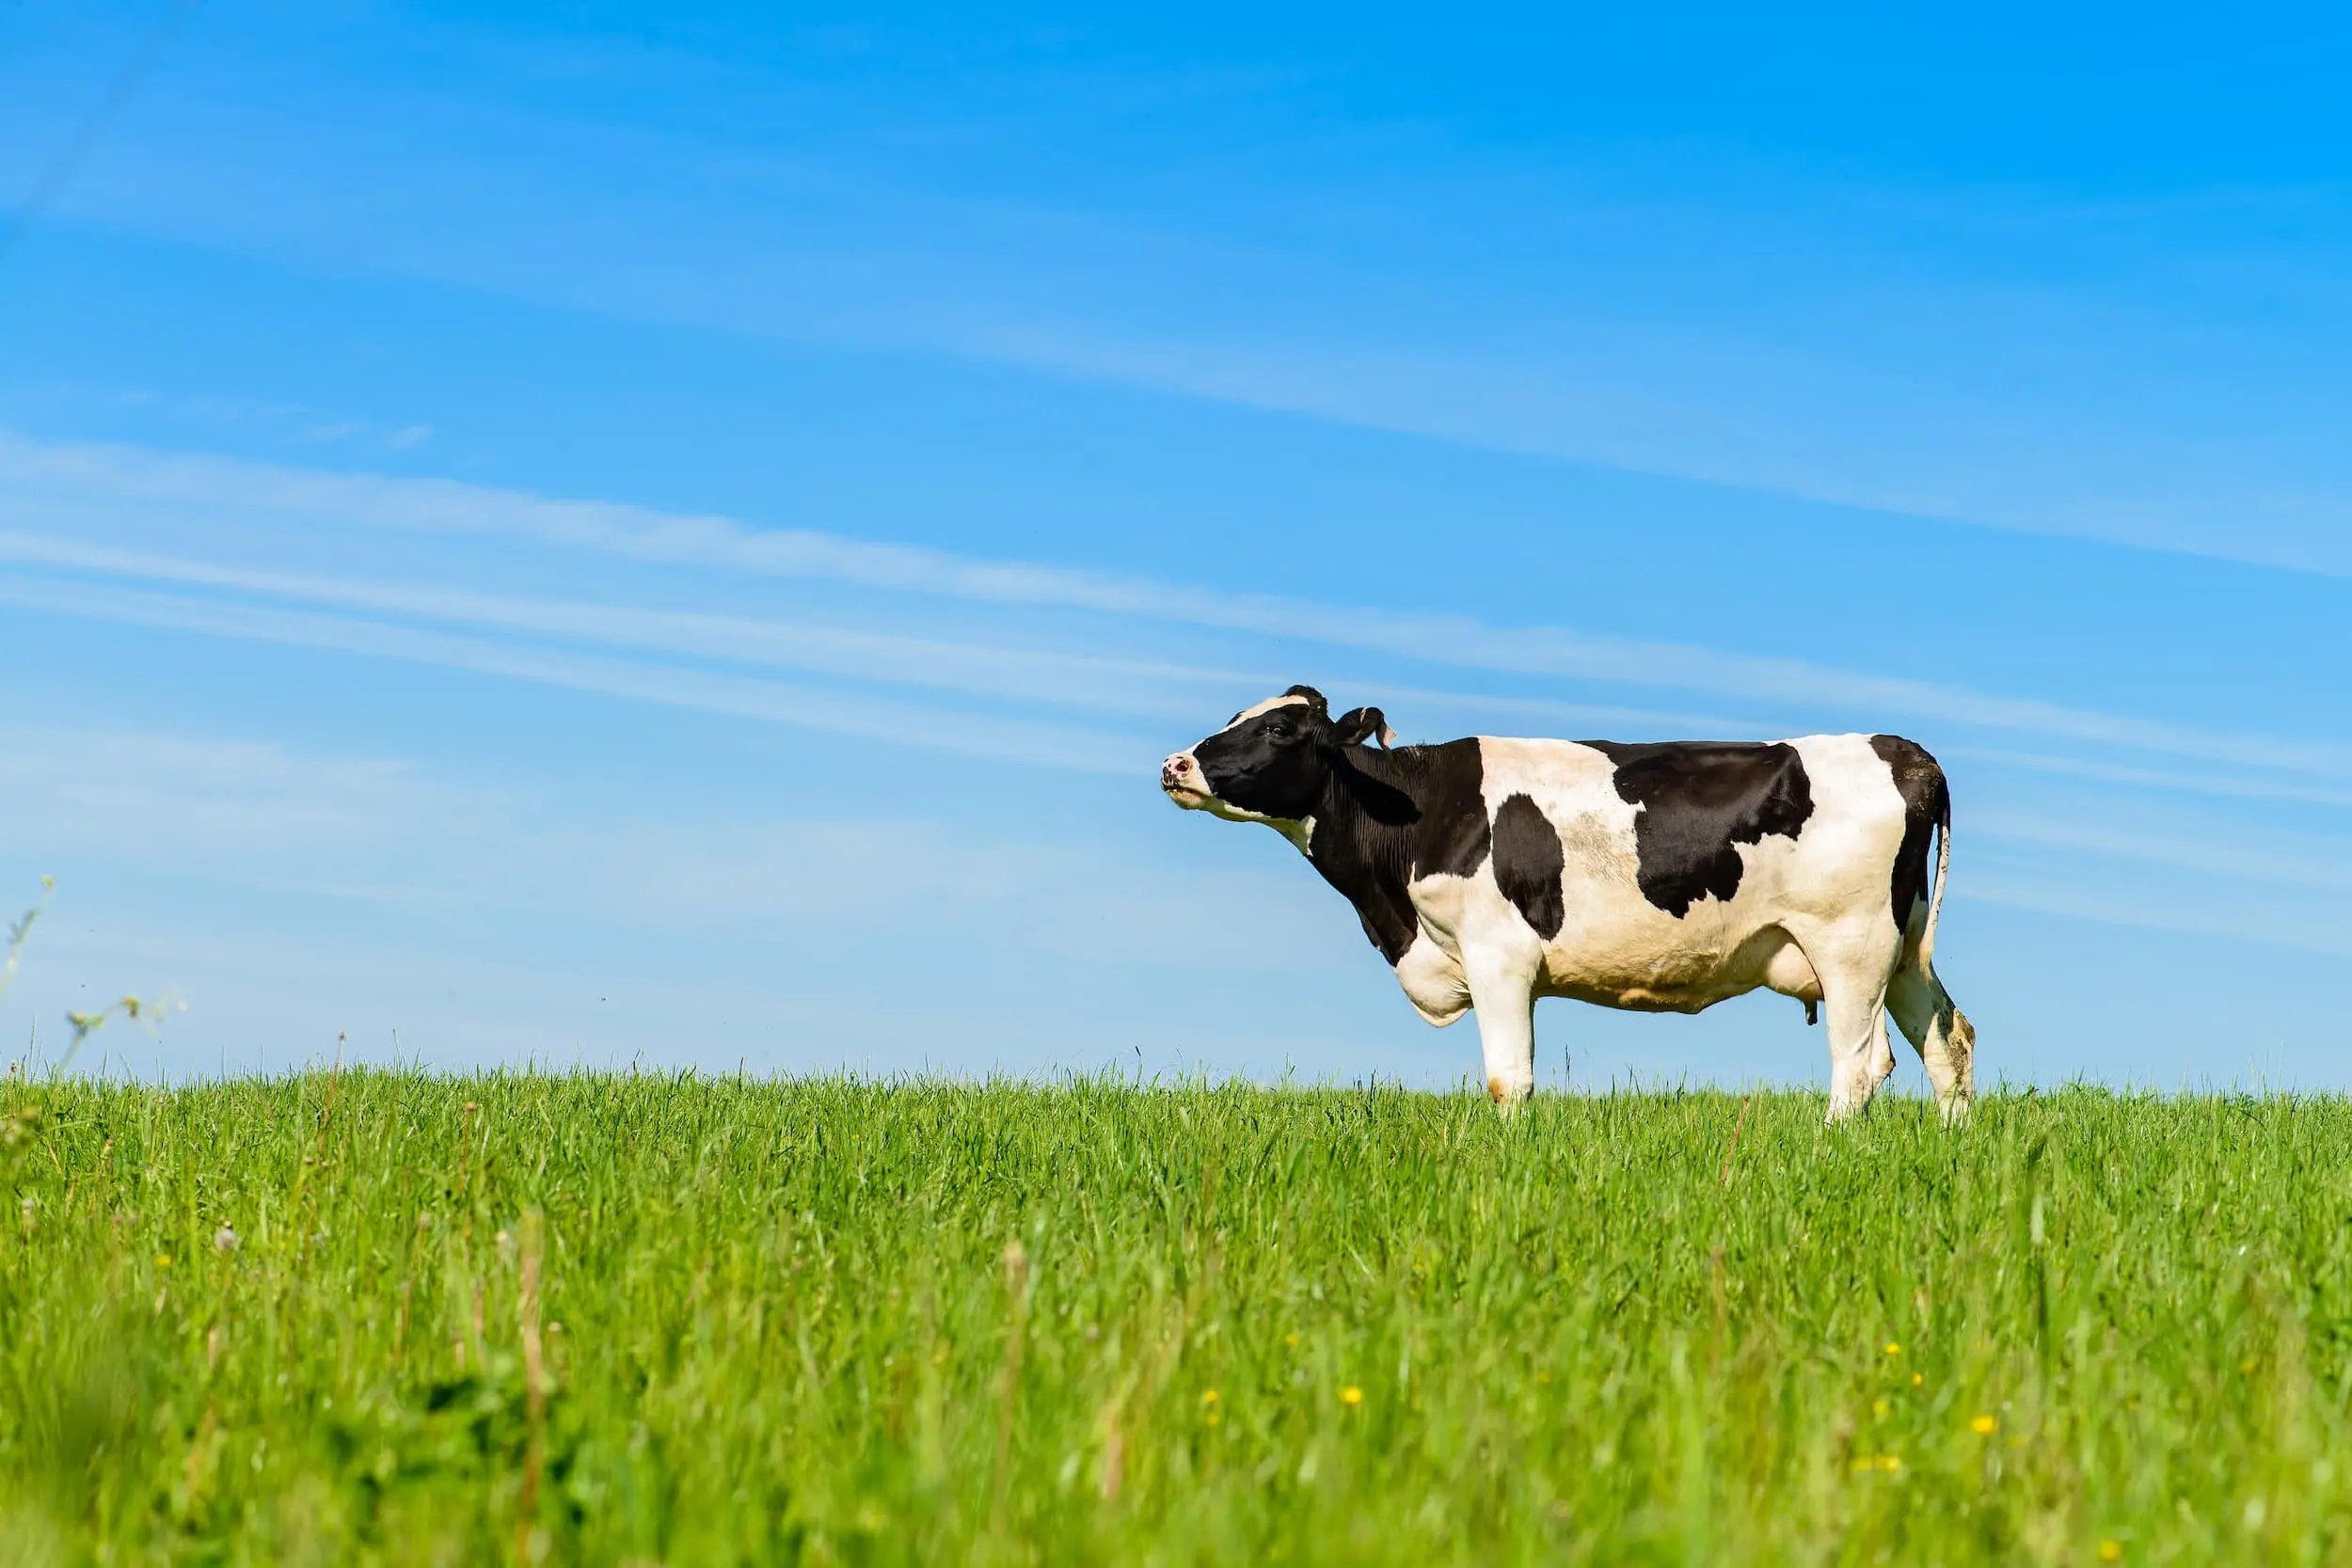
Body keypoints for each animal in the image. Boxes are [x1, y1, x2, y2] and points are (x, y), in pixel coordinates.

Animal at [1161, 687, 1974, 1122]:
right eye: (1236, 713)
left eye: (1276, 727)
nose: (1176, 763)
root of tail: (1906, 751)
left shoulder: (1498, 955)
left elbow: (1507, 1078)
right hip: (1903, 949)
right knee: (1949, 1039)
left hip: (1851, 944)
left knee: (1860, 1064)